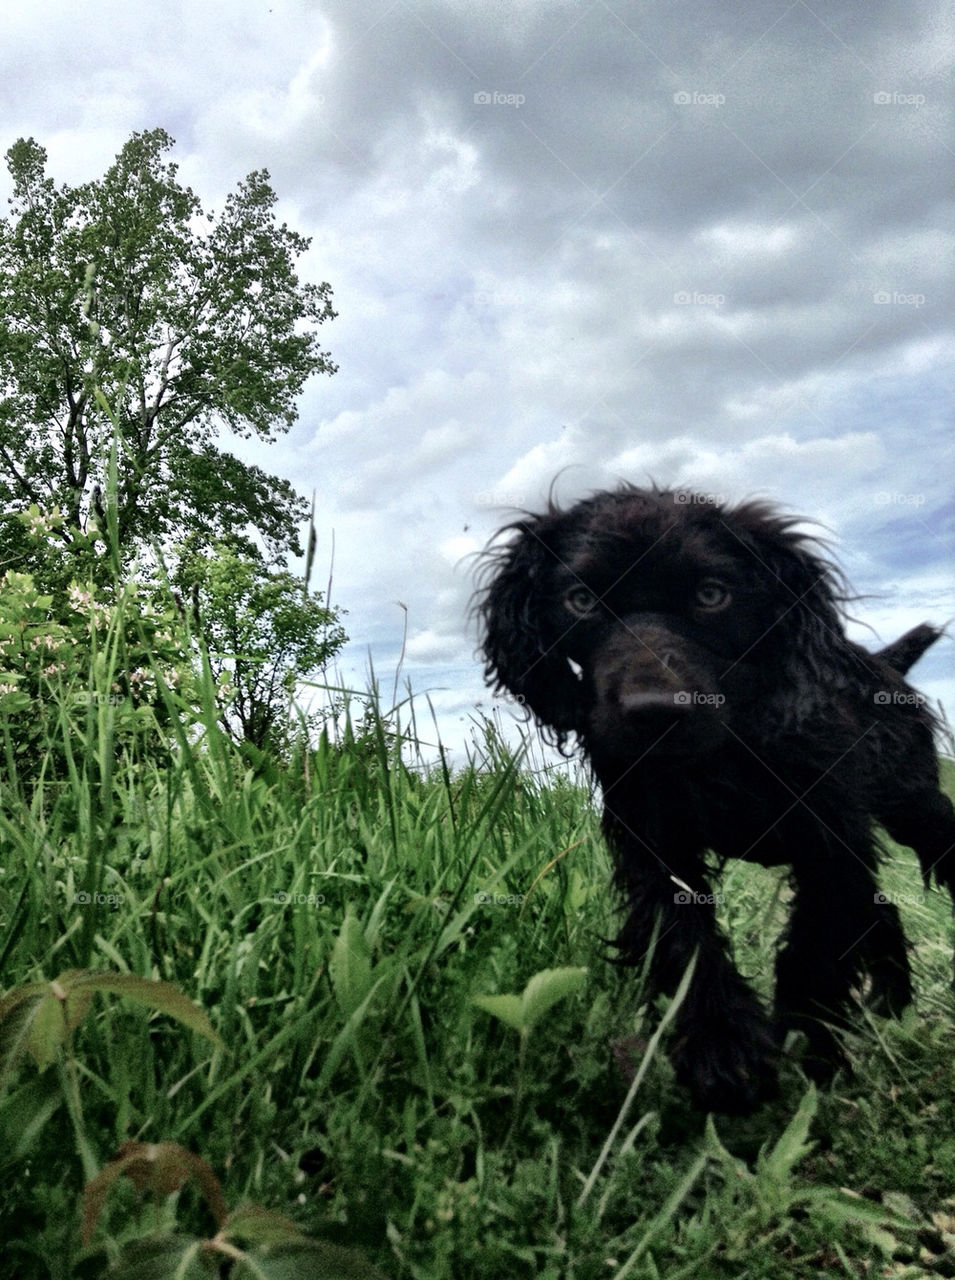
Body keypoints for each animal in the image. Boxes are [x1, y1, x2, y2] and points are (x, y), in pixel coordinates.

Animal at [476, 483, 952, 1116]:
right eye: (580, 600)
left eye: (711, 595)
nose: (655, 712)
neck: (726, 749)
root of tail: (883, 664)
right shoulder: (651, 843)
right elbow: (682, 939)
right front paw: (721, 1047)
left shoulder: (831, 837)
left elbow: (817, 947)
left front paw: (805, 1041)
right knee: (883, 910)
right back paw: (891, 1004)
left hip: (914, 806)